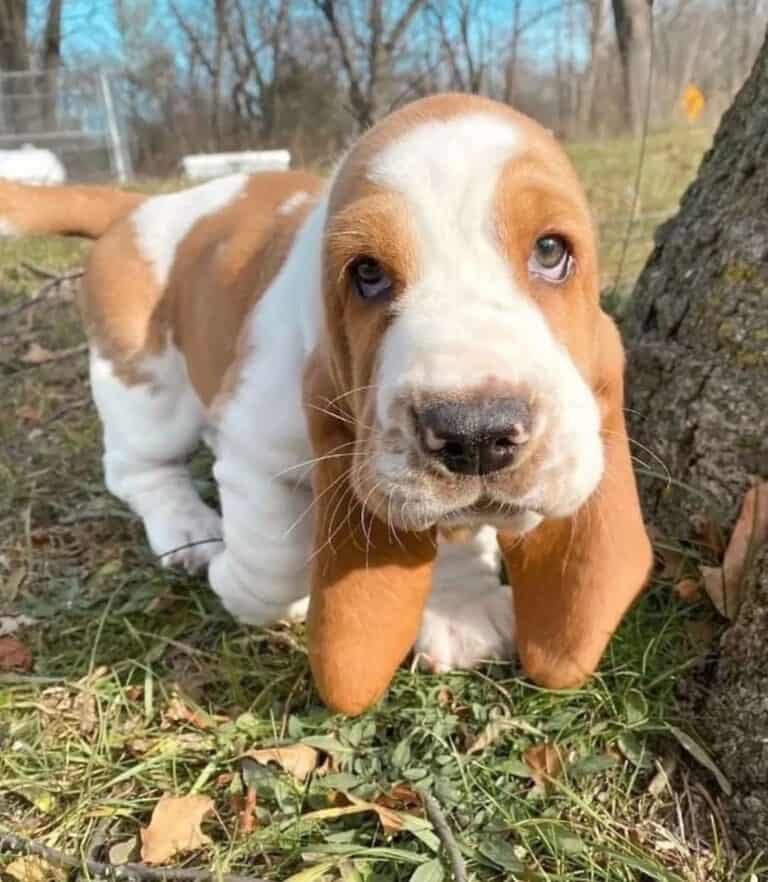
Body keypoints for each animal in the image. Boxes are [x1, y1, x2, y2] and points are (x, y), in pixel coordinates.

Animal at [1, 93, 656, 712]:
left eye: (550, 251)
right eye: (367, 274)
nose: (475, 434)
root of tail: (140, 208)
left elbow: (451, 527)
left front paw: (460, 607)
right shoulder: (256, 448)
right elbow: (272, 563)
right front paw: (238, 582)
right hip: (146, 386)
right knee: (138, 468)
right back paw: (189, 532)